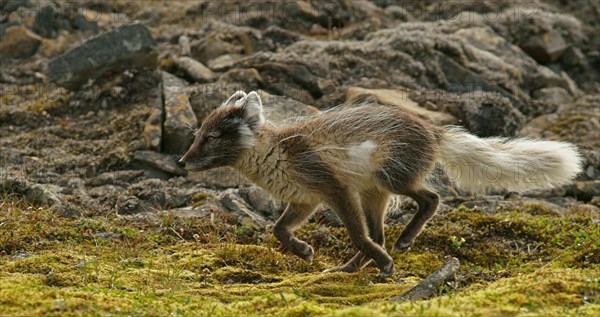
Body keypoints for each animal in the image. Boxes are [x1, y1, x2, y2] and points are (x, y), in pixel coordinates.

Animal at [178, 89, 580, 276]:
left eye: (211, 138)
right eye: (196, 135)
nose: (182, 161)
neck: (273, 154)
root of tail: (433, 130)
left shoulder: (334, 188)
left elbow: (356, 234)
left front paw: (385, 265)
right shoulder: (305, 199)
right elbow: (278, 229)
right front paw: (304, 251)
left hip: (390, 178)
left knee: (430, 200)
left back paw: (398, 248)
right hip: (374, 193)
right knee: (379, 233)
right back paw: (350, 268)